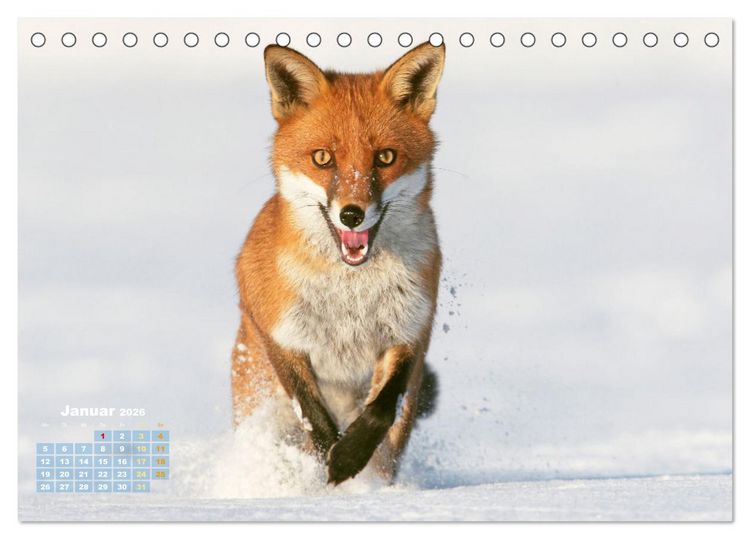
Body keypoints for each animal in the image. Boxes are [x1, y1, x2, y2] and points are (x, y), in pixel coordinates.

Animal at [231, 41, 445, 485]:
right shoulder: (279, 332)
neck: (351, 292)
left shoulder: (411, 329)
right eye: (322, 158)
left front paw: (348, 457)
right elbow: (313, 414)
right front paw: (329, 461)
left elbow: (382, 407)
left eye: (385, 157)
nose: (351, 214)